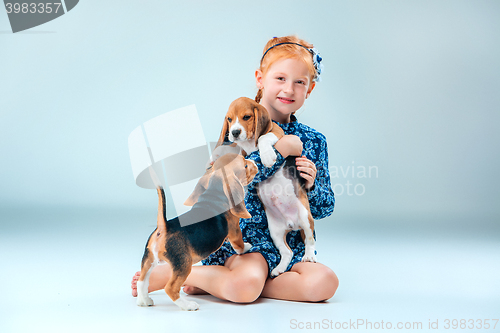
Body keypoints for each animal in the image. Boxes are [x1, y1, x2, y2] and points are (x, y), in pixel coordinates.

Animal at [137, 154, 258, 310]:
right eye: (245, 166)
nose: (255, 161)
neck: (215, 191)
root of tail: (165, 227)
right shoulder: (234, 230)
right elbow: (239, 245)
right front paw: (247, 247)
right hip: (183, 264)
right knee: (170, 288)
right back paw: (188, 305)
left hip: (149, 260)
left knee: (142, 281)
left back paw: (144, 301)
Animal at [212, 96, 314, 278]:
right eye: (229, 119)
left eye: (246, 117)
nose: (234, 132)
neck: (248, 142)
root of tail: (292, 224)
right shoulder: (242, 151)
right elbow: (235, 148)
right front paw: (219, 152)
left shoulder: (277, 132)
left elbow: (263, 138)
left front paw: (267, 157)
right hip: (275, 232)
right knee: (287, 252)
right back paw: (279, 269)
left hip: (305, 217)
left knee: (310, 241)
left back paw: (308, 256)